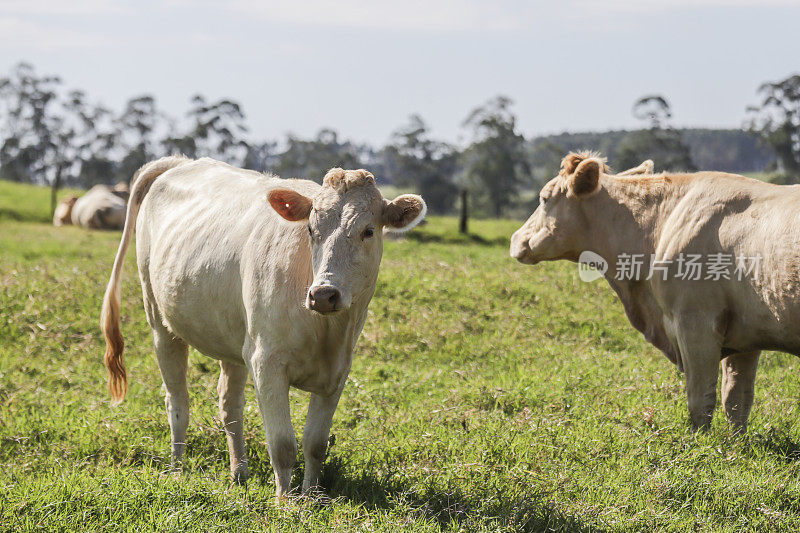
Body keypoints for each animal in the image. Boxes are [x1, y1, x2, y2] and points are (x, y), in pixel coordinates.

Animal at [101, 156, 428, 496]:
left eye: (368, 231)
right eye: (311, 229)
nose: (323, 294)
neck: (326, 331)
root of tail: (182, 162)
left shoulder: (337, 371)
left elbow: (316, 444)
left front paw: (311, 496)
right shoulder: (267, 362)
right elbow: (283, 445)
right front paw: (284, 500)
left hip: (236, 339)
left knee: (230, 405)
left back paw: (239, 472)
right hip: (160, 323)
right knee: (177, 402)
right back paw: (177, 470)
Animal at [510, 150, 800, 432]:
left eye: (544, 199)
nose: (514, 238)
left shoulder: (695, 322)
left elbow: (701, 399)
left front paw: (700, 442)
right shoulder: (745, 335)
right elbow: (737, 401)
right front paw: (736, 444)